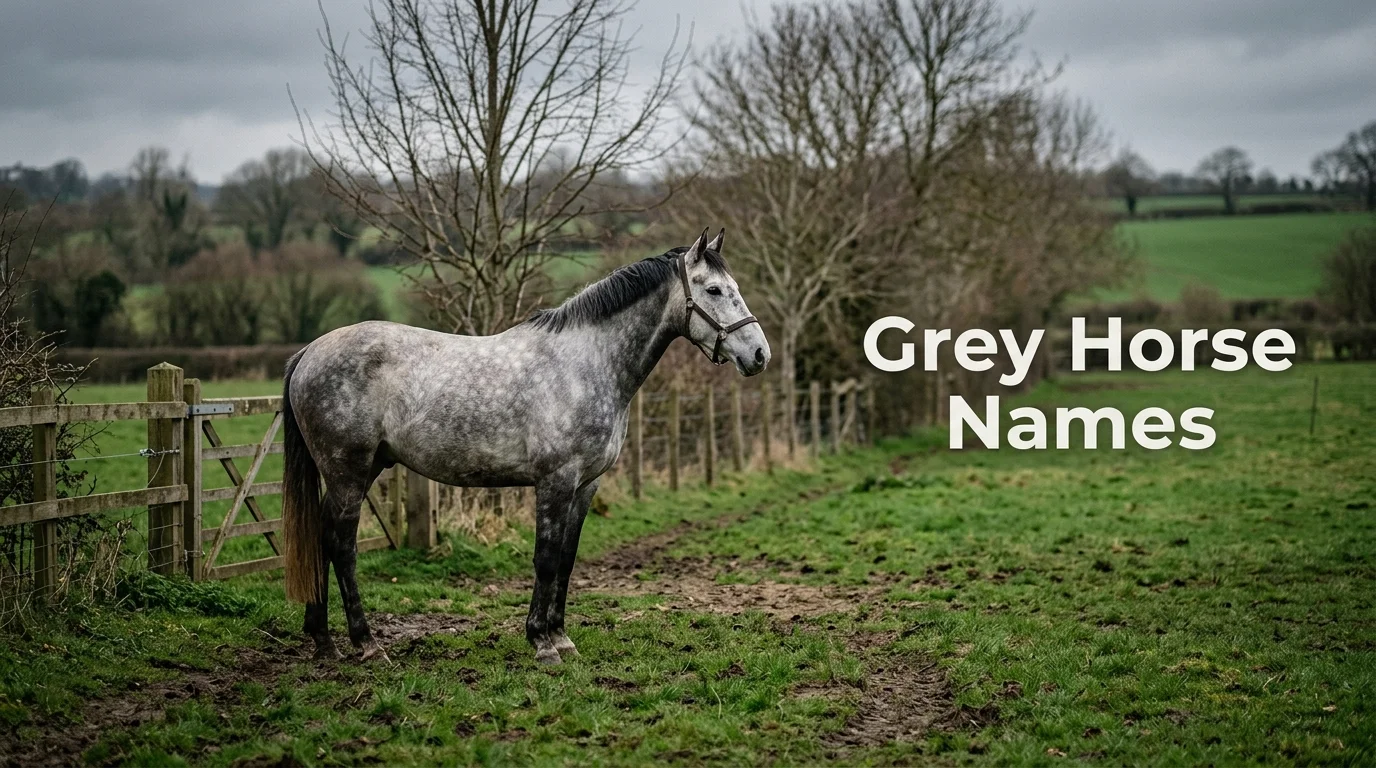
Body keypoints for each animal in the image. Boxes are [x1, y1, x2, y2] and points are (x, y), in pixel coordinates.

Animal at [280, 228, 770, 664]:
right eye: (713, 289)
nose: (759, 355)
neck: (587, 363)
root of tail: (308, 353)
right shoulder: (555, 480)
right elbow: (546, 558)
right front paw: (541, 642)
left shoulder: (586, 485)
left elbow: (567, 559)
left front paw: (562, 638)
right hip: (348, 471)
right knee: (342, 545)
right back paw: (365, 644)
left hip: (361, 470)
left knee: (323, 537)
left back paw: (323, 640)